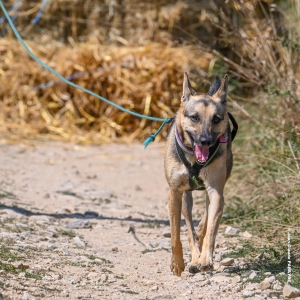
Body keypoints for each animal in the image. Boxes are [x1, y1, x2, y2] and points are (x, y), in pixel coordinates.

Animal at [164, 72, 237, 276]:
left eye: (216, 119)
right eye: (195, 117)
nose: (205, 141)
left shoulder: (216, 191)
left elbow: (211, 229)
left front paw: (205, 259)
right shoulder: (175, 192)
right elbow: (177, 233)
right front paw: (178, 262)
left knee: (204, 221)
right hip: (185, 196)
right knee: (190, 226)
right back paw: (194, 257)